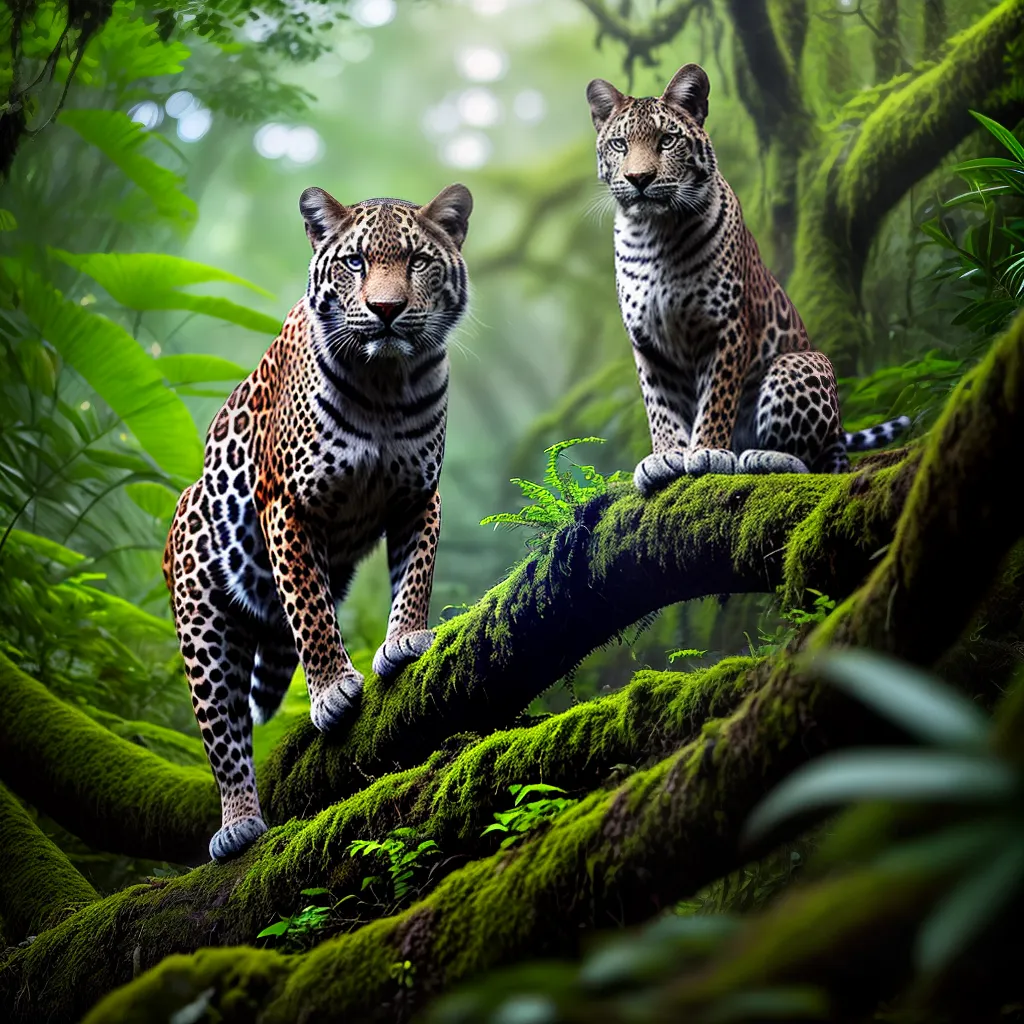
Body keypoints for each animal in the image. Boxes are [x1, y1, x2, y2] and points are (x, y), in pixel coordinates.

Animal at [162, 183, 473, 862]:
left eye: (417, 261)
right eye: (355, 263)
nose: (386, 310)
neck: (384, 383)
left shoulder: (419, 495)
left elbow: (416, 573)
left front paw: (405, 639)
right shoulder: (287, 505)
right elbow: (310, 611)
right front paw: (332, 690)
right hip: (203, 622)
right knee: (223, 727)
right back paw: (239, 821)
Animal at [585, 63, 910, 495]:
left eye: (667, 140)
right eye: (620, 144)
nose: (639, 178)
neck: (656, 233)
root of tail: (840, 434)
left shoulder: (725, 327)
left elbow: (717, 397)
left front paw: (707, 451)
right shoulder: (647, 341)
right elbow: (659, 406)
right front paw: (664, 456)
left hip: (799, 363)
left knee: (817, 464)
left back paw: (760, 457)